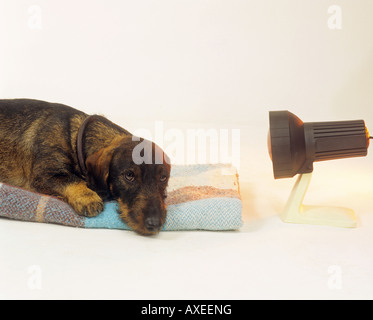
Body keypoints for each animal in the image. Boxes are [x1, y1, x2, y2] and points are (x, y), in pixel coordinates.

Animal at [0, 99, 171, 235]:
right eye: (129, 176)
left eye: (163, 178)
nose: (155, 224)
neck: (75, 137)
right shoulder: (44, 175)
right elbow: (72, 180)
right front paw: (86, 197)